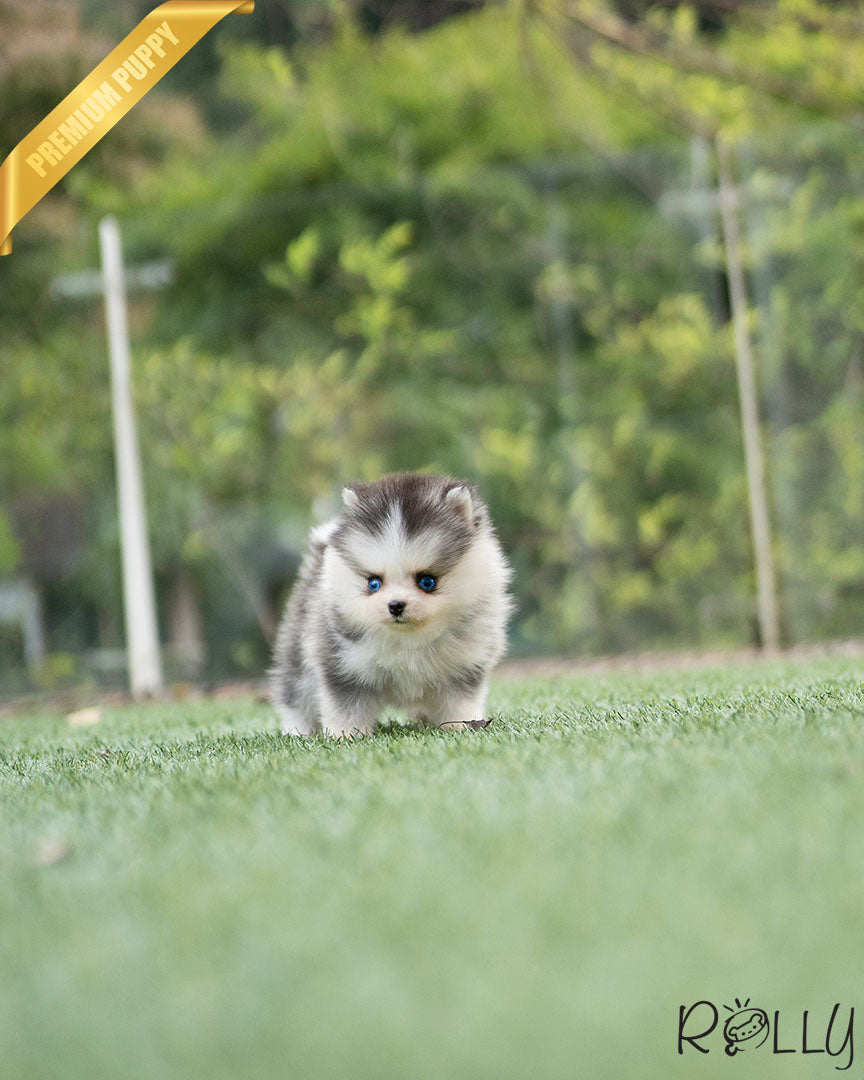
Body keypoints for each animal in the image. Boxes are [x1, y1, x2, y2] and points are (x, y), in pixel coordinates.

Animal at [270, 470, 514, 734]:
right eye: (374, 583)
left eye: (427, 581)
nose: (395, 605)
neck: (408, 639)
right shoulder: (343, 666)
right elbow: (346, 709)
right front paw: (345, 736)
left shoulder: (463, 667)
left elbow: (458, 705)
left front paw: (461, 727)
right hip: (298, 656)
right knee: (296, 696)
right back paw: (298, 731)